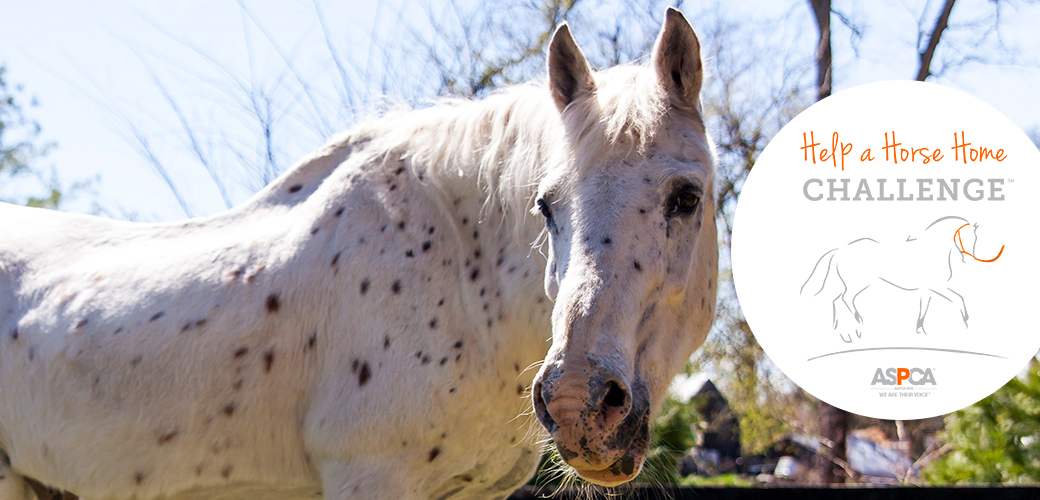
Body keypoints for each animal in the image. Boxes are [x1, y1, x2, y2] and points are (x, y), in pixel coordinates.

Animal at [798, 214, 1002, 343]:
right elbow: (958, 298)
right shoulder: (937, 287)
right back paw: (858, 323)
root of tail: (841, 250)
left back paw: (842, 328)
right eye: (961, 237)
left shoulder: (927, 290)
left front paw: (921, 331)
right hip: (858, 284)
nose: (969, 259)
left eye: (974, 239)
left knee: (836, 299)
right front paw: (966, 322)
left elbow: (923, 309)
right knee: (844, 299)